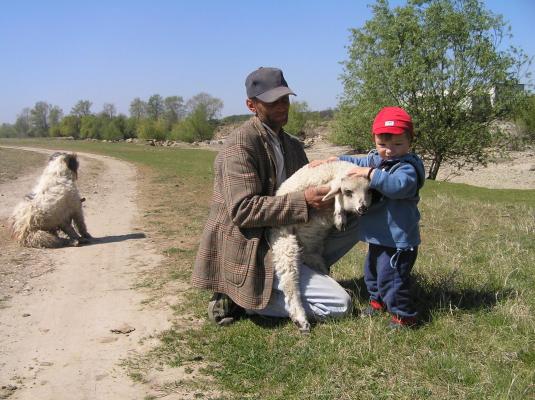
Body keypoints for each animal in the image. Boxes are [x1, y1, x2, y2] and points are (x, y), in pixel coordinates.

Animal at [270, 161, 370, 332]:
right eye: (348, 191)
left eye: (369, 190)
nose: (362, 209)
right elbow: (335, 194)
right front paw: (340, 216)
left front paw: (340, 216)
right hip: (283, 239)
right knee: (289, 280)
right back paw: (301, 319)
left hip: (312, 253)